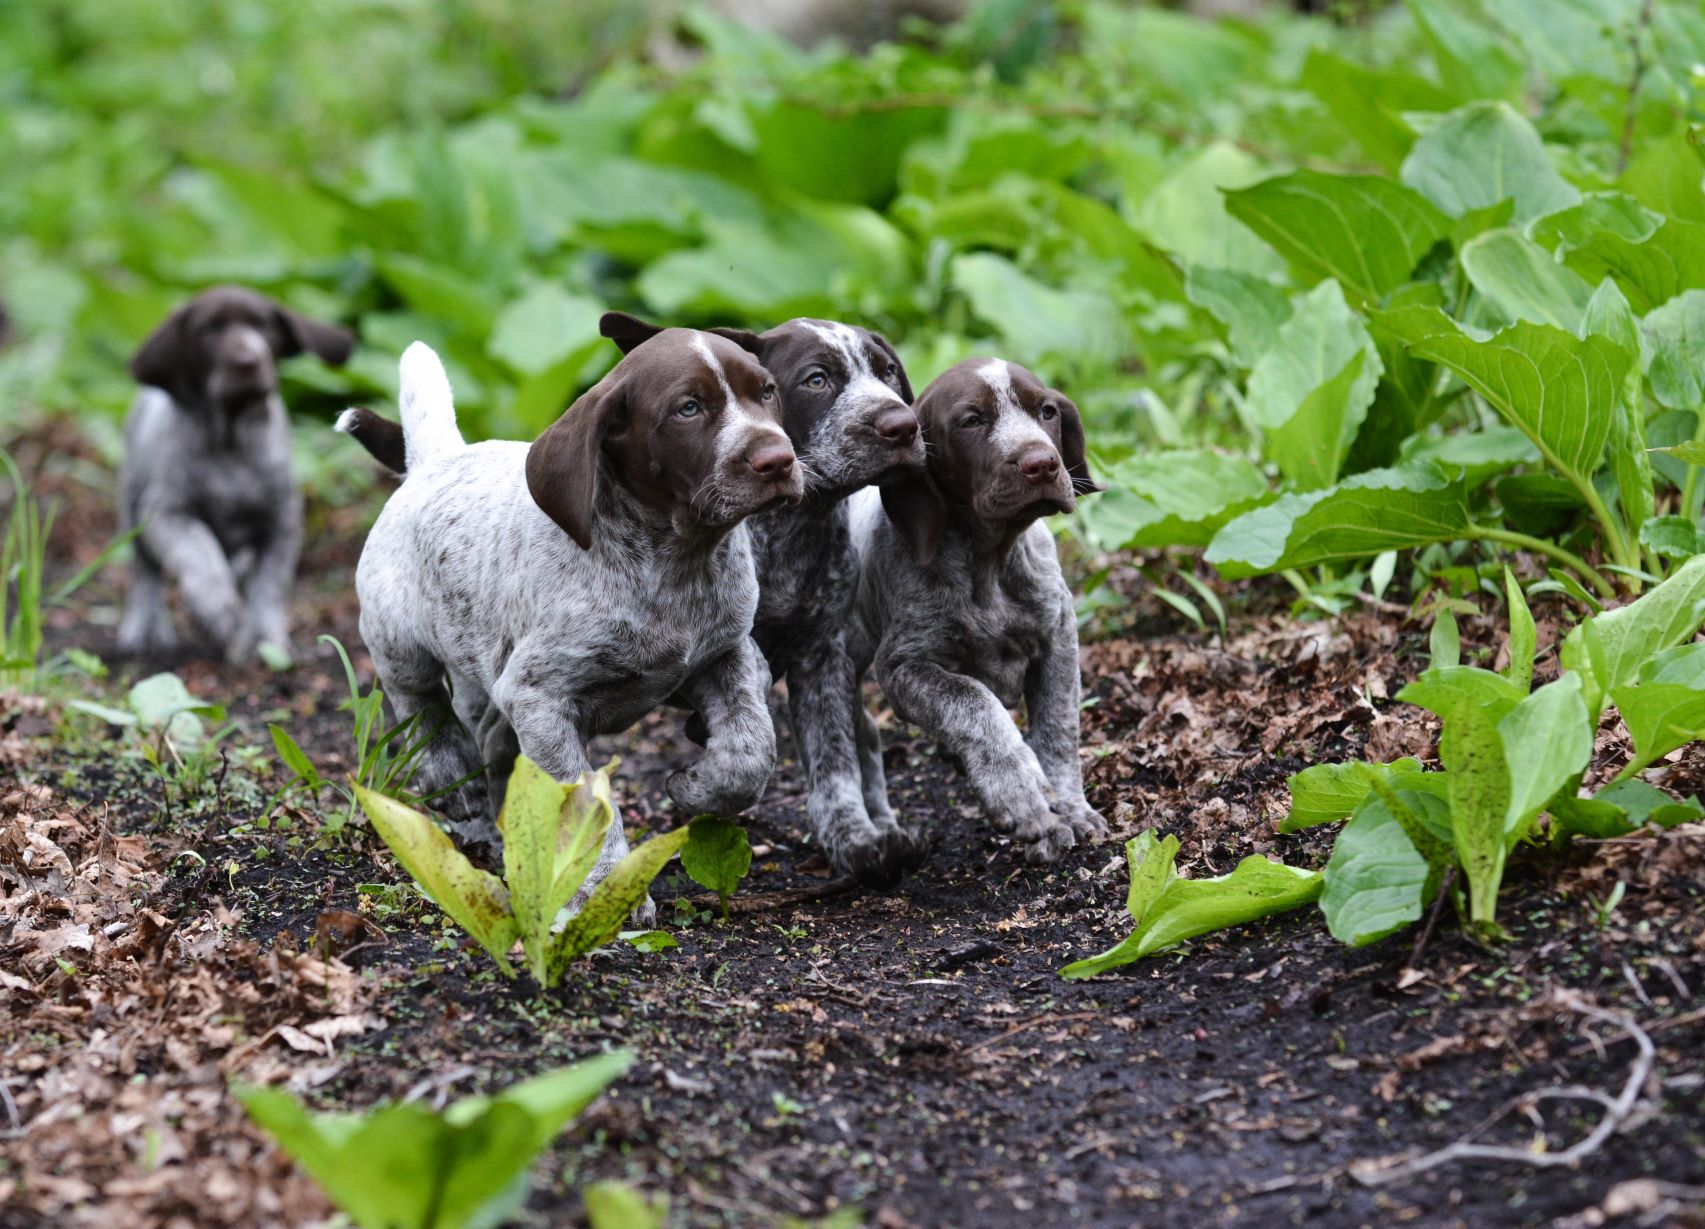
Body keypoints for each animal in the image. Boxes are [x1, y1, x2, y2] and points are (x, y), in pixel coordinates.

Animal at [117, 284, 352, 661]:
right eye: (208, 330)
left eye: (263, 326)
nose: (248, 361)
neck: (231, 441)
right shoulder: (165, 512)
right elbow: (198, 549)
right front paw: (217, 609)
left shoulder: (282, 521)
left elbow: (270, 585)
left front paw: (263, 640)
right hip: (130, 505)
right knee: (144, 573)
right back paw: (146, 630)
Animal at [354, 332, 804, 913]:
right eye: (688, 408)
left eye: (766, 392)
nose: (779, 459)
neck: (676, 560)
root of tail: (436, 460)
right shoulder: (541, 698)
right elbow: (583, 800)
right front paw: (604, 890)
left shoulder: (728, 653)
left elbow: (752, 749)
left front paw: (698, 787)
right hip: (398, 634)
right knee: (418, 699)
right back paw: (452, 771)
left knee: (493, 737)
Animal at [596, 311, 927, 886]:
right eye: (817, 380)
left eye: (887, 373)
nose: (902, 425)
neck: (791, 528)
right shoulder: (730, 647)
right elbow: (747, 749)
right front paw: (700, 789)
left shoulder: (823, 654)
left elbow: (835, 756)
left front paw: (854, 837)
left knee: (865, 737)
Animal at [849, 357, 1104, 862]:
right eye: (971, 421)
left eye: (1047, 411)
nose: (1042, 463)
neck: (988, 559)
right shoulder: (903, 667)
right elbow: (973, 702)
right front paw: (1021, 793)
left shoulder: (1059, 640)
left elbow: (1058, 730)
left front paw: (1069, 809)